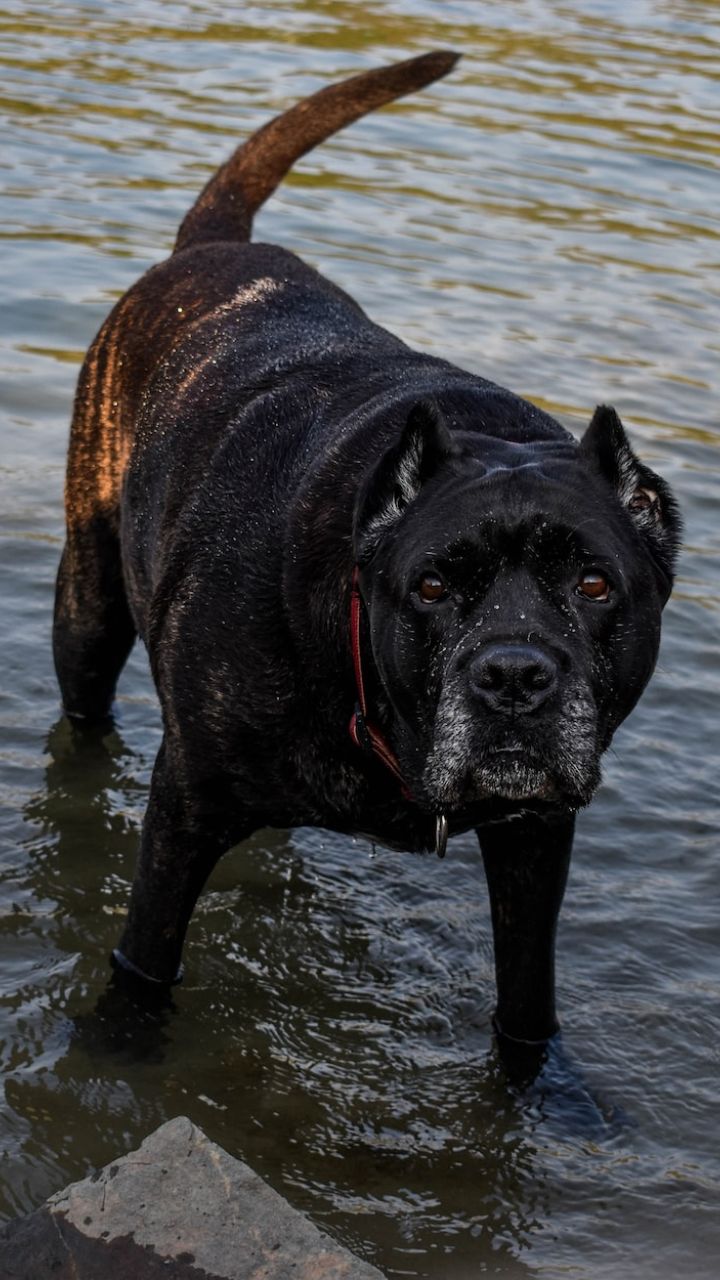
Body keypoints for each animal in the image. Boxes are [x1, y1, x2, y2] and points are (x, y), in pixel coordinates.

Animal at [54, 49, 676, 1049]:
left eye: (593, 585)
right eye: (429, 587)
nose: (513, 676)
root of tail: (208, 250)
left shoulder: (536, 840)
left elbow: (527, 1008)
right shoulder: (184, 810)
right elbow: (144, 964)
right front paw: (121, 1048)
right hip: (88, 609)